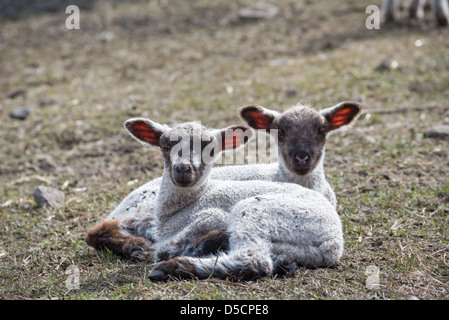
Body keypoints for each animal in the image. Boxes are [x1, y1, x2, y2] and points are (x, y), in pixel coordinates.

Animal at [86, 102, 360, 260]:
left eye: (321, 131)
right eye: (280, 132)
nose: (302, 157)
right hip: (140, 209)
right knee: (99, 231)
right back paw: (138, 247)